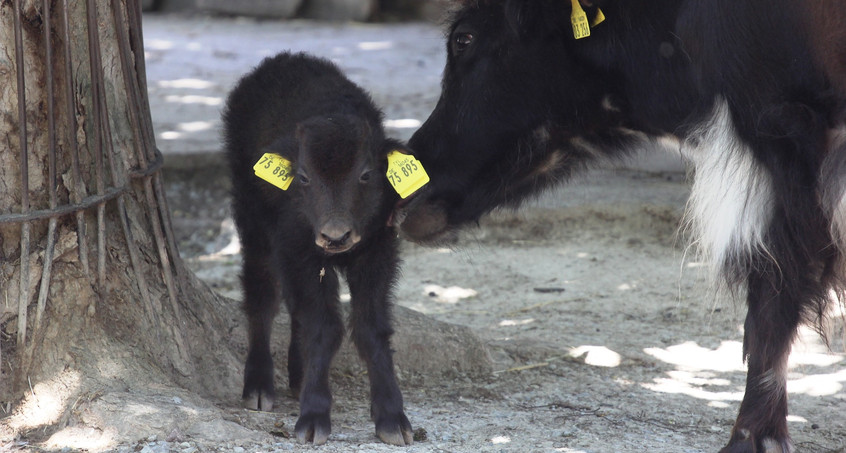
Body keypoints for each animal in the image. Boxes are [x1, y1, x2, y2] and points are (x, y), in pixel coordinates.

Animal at [222, 52, 418, 444]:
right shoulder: (301, 253)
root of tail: (280, 60)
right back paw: (259, 387)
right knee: (262, 296)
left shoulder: (377, 255)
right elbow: (323, 327)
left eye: (366, 174)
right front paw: (312, 418)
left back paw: (297, 377)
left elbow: (370, 328)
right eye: (303, 177)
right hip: (254, 225)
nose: (335, 236)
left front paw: (393, 419)